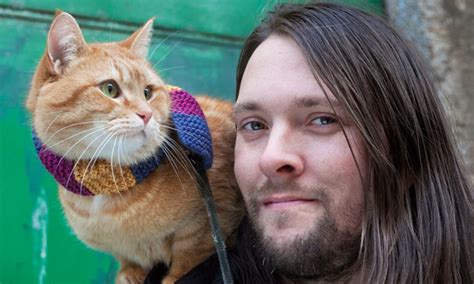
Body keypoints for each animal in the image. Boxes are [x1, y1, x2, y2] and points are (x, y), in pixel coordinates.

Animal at [26, 12, 244, 282]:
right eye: (109, 89)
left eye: (148, 92)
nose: (147, 114)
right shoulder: (121, 250)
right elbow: (128, 260)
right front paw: (131, 274)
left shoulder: (212, 220)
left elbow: (189, 257)